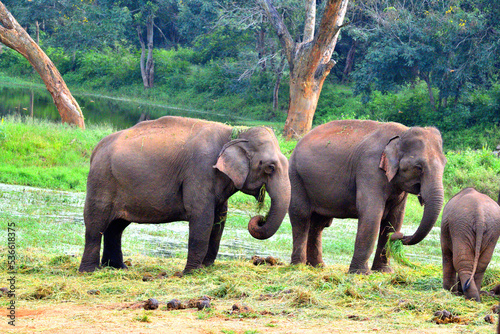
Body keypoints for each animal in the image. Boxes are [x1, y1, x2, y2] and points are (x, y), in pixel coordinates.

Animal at [76, 116, 292, 272]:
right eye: (270, 167)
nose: (260, 218)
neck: (234, 132)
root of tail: (95, 149)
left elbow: (219, 220)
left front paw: (205, 268)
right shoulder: (200, 169)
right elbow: (202, 217)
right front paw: (191, 272)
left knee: (116, 226)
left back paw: (118, 268)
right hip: (102, 179)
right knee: (96, 224)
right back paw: (89, 271)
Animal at [288, 120, 448, 274]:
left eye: (444, 164)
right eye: (418, 167)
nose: (400, 236)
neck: (402, 133)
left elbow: (394, 218)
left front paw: (384, 271)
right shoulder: (369, 168)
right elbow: (372, 213)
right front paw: (360, 273)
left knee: (318, 223)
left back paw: (317, 266)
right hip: (295, 176)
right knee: (301, 217)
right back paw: (298, 266)